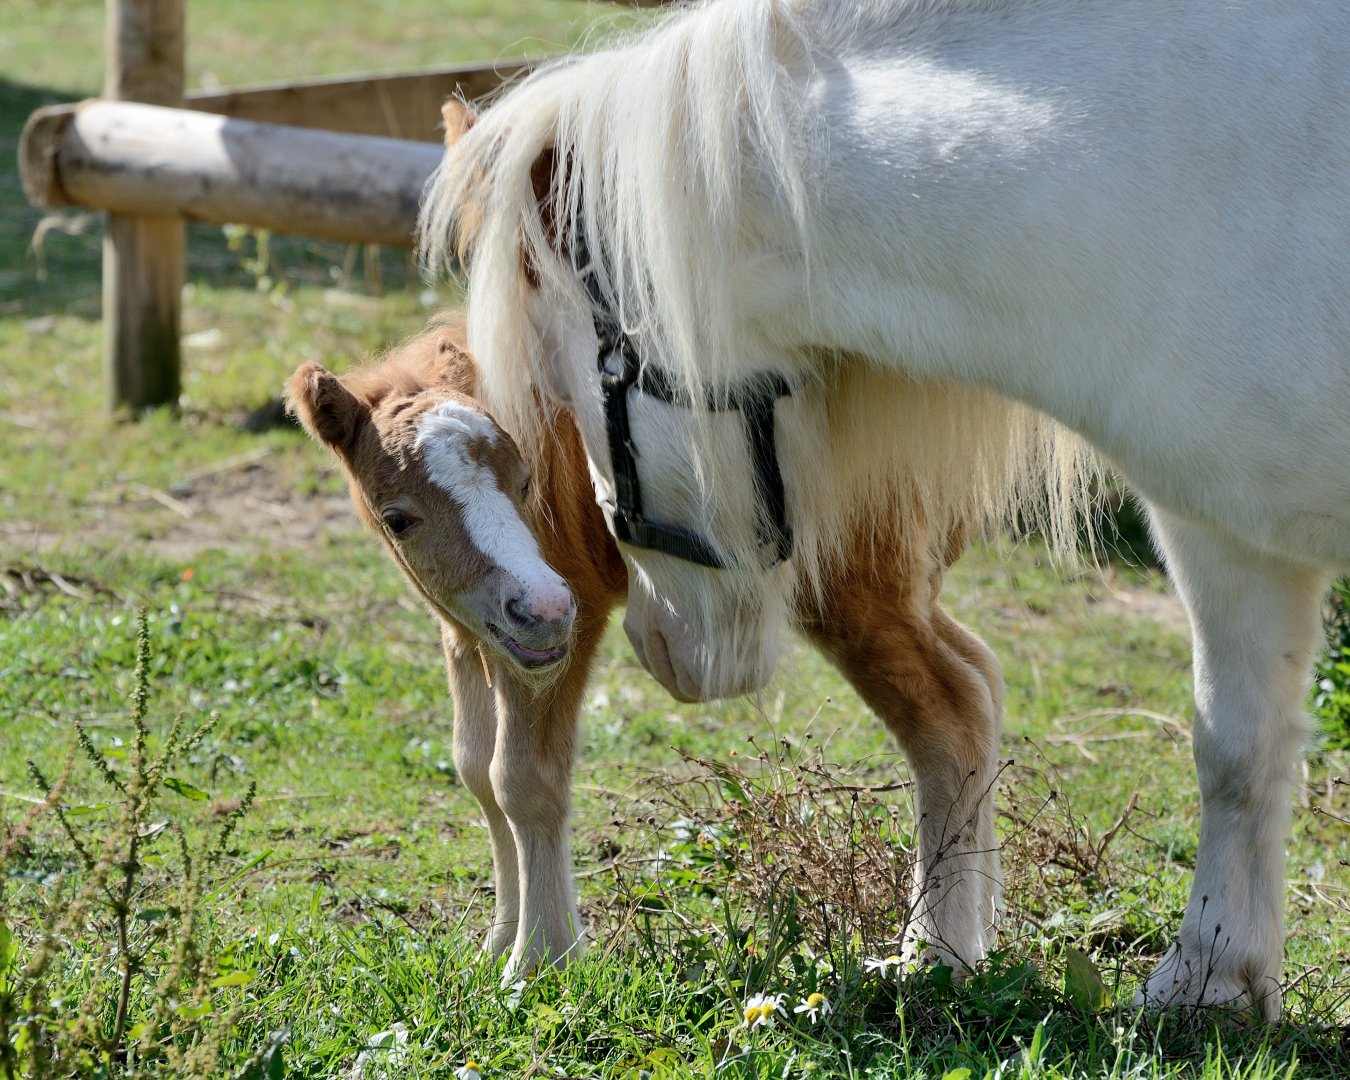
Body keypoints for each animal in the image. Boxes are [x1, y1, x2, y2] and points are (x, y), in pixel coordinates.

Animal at [287, 326, 1007, 983]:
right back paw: (984, 922)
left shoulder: (563, 620)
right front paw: (497, 942)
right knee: (982, 674)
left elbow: (521, 779)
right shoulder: (469, 633)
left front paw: (538, 961)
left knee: (952, 715)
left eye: (527, 482)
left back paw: (934, 955)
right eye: (398, 518)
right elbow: (474, 770)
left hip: (847, 584)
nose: (541, 608)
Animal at [419, 0, 1350, 1017]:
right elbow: (1243, 748)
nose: (658, 645)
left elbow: (1230, 749)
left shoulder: (1209, 523)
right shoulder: (1235, 522)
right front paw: (1220, 977)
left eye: (584, 399)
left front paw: (1196, 976)